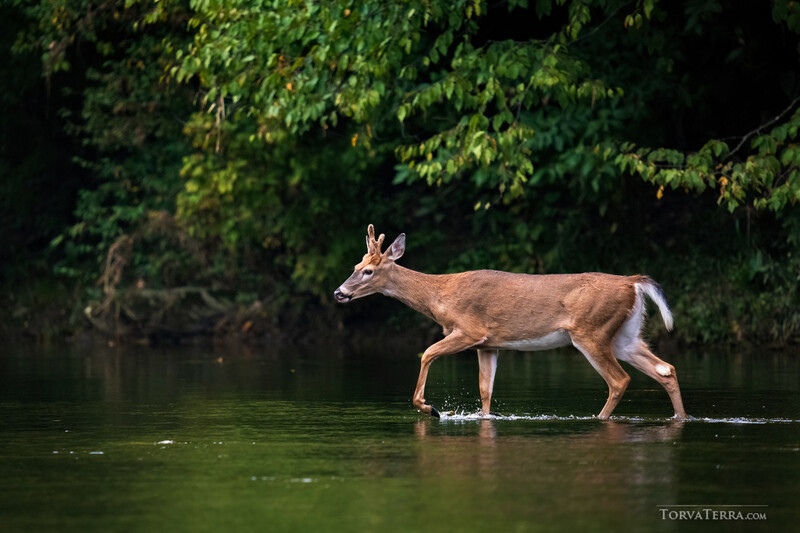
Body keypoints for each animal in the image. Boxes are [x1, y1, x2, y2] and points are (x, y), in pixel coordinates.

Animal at [334, 224, 688, 421]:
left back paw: (598, 419)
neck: (440, 296)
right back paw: (681, 418)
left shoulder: (469, 330)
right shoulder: (489, 344)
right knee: (665, 369)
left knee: (619, 380)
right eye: (355, 266)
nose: (339, 292)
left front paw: (430, 408)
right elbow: (485, 390)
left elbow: (427, 353)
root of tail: (633, 282)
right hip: (624, 335)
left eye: (368, 271)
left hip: (591, 332)